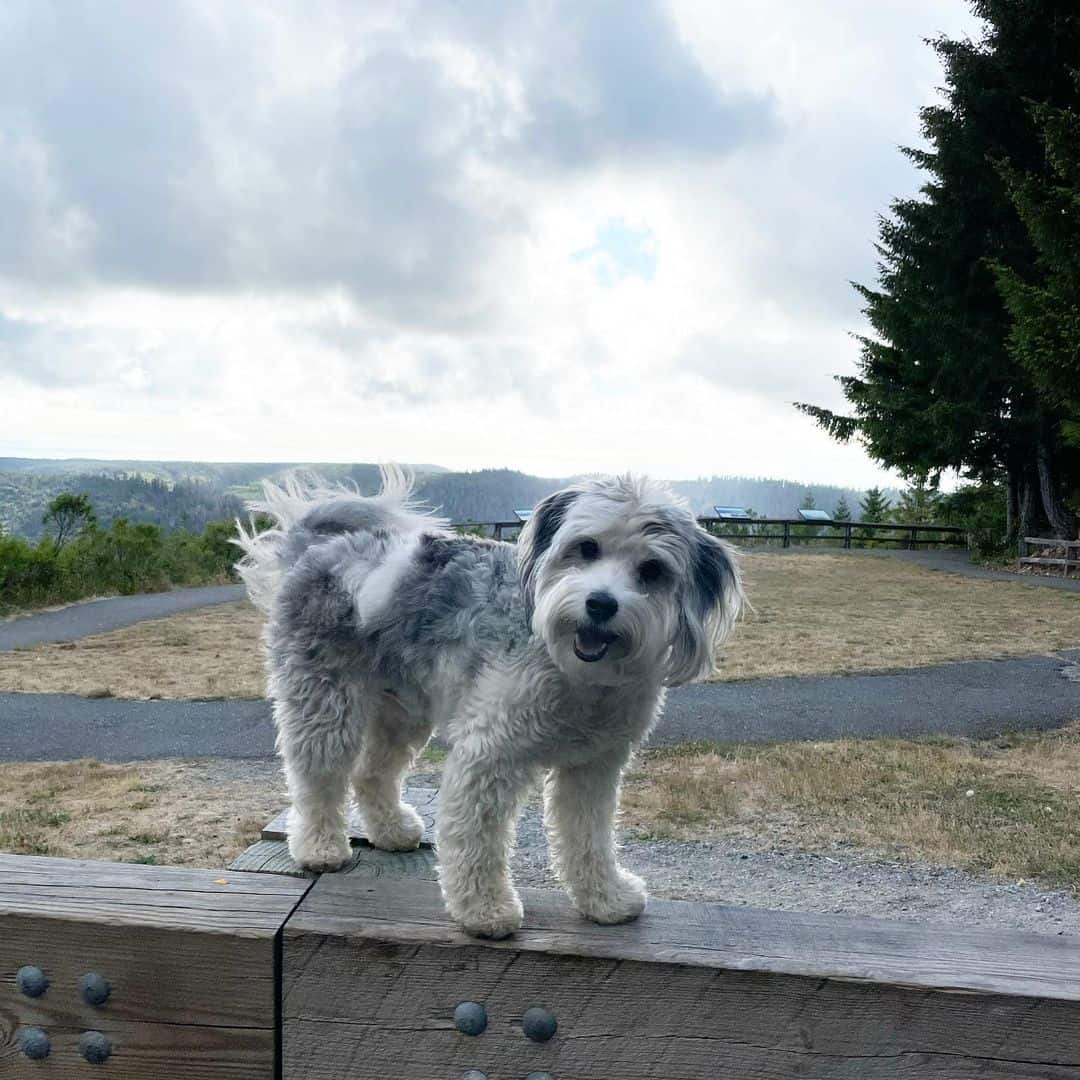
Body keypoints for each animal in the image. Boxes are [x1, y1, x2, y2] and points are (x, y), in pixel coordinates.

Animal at [235, 470, 743, 937]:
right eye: (587, 548)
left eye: (652, 570)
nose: (601, 604)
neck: (575, 675)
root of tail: (318, 547)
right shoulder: (490, 753)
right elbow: (476, 841)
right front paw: (485, 911)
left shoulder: (594, 768)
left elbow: (589, 839)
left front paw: (606, 898)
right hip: (325, 700)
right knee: (317, 776)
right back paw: (319, 847)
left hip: (400, 712)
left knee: (370, 773)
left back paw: (392, 831)